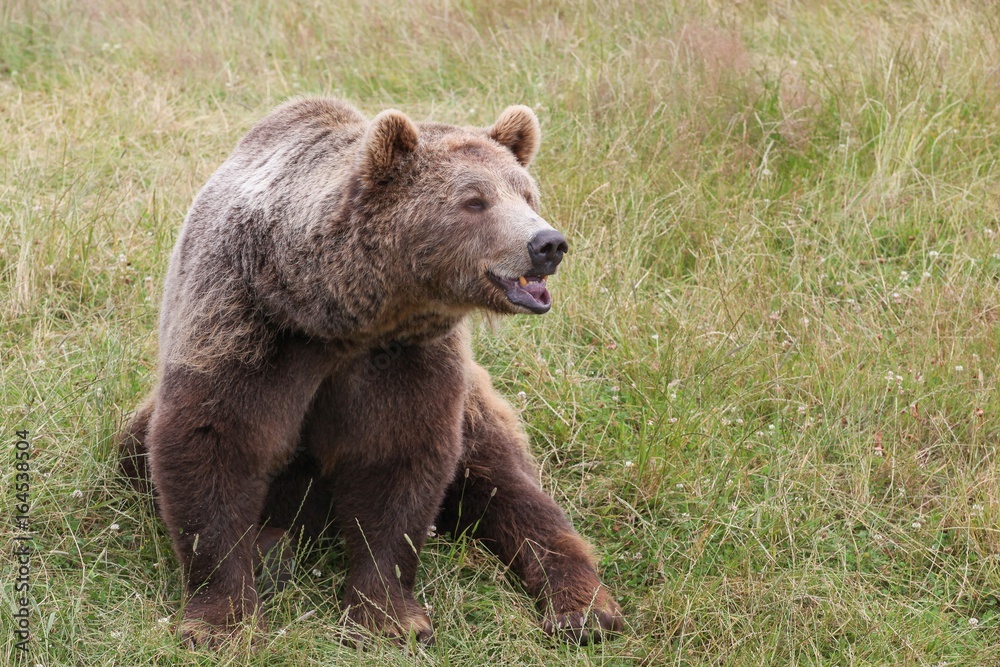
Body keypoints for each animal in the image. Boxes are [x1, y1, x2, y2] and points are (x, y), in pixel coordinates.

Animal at [119, 98, 624, 648]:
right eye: (474, 200)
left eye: (527, 193)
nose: (547, 243)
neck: (337, 314)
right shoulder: (245, 328)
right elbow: (215, 443)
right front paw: (222, 621)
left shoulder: (405, 358)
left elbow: (395, 462)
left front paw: (387, 618)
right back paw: (272, 550)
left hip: (476, 407)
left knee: (512, 491)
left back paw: (583, 609)